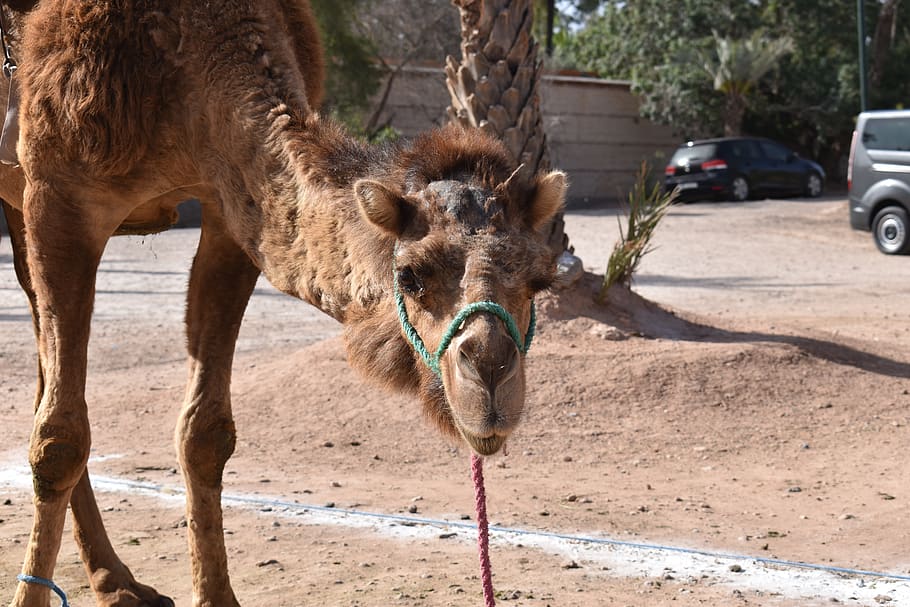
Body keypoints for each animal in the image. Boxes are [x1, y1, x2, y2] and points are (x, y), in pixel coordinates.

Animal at [0, 1, 566, 606]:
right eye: (410, 276)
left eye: (540, 279)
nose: (491, 375)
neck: (184, 47)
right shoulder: (59, 195)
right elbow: (60, 439)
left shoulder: (231, 210)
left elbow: (205, 433)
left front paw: (215, 594)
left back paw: (117, 581)